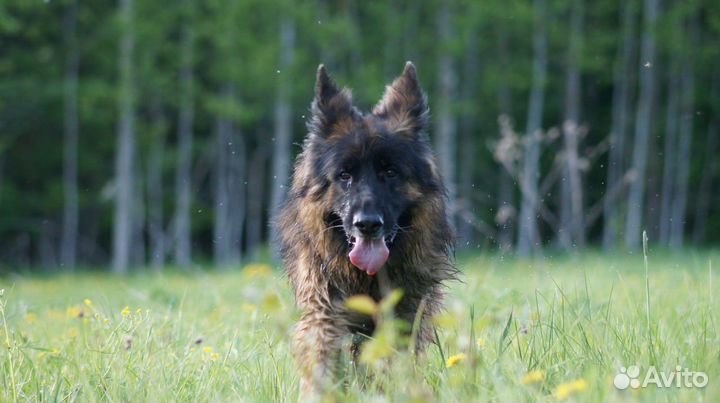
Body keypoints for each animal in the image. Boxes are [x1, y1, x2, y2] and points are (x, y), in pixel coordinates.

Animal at [278, 61, 456, 396]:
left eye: (390, 172)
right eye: (344, 175)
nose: (367, 224)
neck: (367, 277)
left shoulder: (404, 310)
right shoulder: (324, 304)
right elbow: (322, 353)